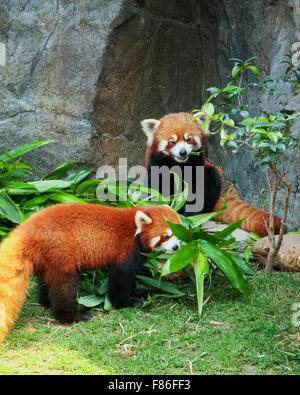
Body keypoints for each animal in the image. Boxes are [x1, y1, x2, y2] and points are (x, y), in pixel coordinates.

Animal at [0, 203, 180, 344]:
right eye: (166, 236)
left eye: (179, 234)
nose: (176, 247)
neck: (135, 229)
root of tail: (28, 228)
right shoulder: (125, 249)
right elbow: (120, 279)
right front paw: (126, 302)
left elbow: (131, 279)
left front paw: (139, 292)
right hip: (61, 255)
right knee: (64, 287)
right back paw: (73, 315)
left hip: (45, 259)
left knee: (45, 282)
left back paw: (46, 302)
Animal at [141, 110, 286, 235]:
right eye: (172, 142)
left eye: (189, 139)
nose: (183, 152)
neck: (179, 164)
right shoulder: (156, 165)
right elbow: (158, 189)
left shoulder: (198, 165)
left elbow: (197, 190)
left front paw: (190, 218)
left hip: (212, 172)